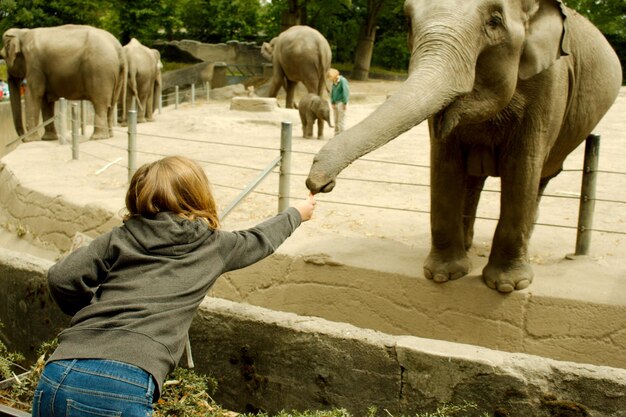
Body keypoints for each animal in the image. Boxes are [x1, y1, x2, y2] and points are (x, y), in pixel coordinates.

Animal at [304, 0, 620, 292]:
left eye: (494, 21)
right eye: (408, 21)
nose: (317, 183)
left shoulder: (550, 82)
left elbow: (523, 165)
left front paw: (507, 286)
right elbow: (445, 161)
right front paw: (443, 276)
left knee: (541, 176)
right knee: (474, 179)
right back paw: (467, 246)